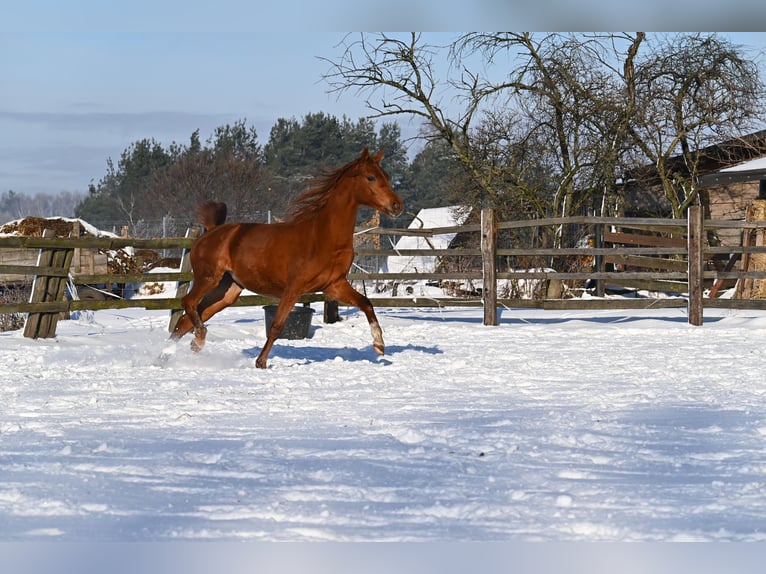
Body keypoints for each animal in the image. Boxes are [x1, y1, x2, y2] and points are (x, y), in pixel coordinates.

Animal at [169, 147, 404, 368]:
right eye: (371, 177)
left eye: (387, 175)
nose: (397, 205)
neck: (324, 237)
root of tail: (210, 231)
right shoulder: (294, 287)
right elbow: (276, 326)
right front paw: (261, 362)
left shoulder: (334, 285)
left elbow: (366, 303)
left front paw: (379, 345)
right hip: (208, 278)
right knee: (187, 304)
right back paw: (197, 340)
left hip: (228, 291)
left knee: (187, 319)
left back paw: (170, 355)